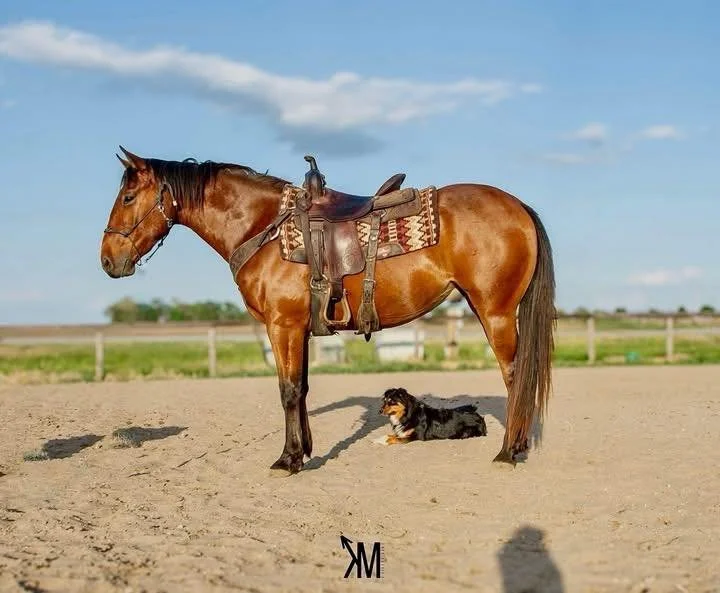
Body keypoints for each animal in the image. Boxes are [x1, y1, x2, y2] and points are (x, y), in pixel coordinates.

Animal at [100, 147, 556, 475]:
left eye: (128, 196)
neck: (263, 228)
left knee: (515, 377)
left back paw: (507, 453)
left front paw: (287, 460)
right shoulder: (297, 328)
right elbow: (300, 388)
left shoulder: (282, 325)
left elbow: (287, 390)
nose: (107, 260)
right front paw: (303, 451)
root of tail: (519, 207)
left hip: (495, 312)